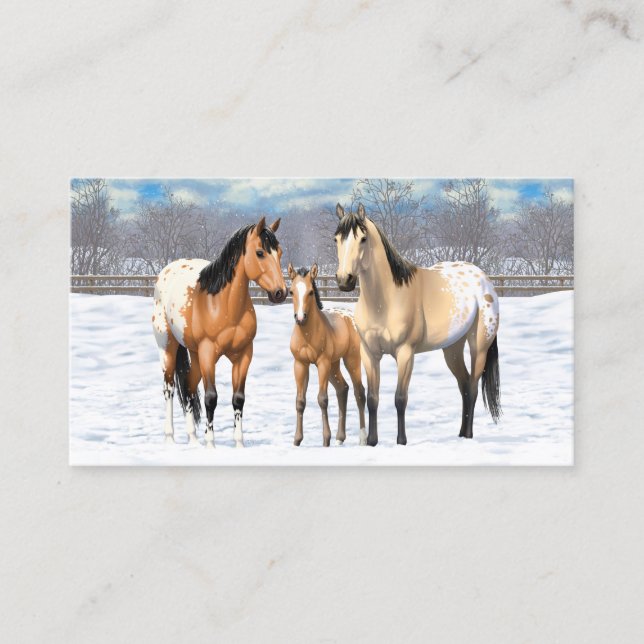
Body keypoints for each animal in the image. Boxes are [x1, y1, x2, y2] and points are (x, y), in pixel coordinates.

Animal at [152, 217, 287, 448]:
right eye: (260, 252)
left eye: (279, 253)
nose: (281, 293)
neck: (223, 305)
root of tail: (167, 271)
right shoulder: (208, 353)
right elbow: (211, 398)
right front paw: (211, 444)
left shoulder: (244, 355)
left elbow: (238, 398)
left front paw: (239, 443)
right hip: (168, 347)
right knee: (169, 388)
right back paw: (170, 437)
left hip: (195, 354)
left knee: (188, 388)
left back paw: (193, 439)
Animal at [288, 263, 366, 447]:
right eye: (291, 291)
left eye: (311, 292)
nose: (300, 318)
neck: (307, 335)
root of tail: (350, 317)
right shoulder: (300, 364)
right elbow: (300, 401)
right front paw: (297, 440)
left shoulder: (322, 363)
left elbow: (322, 399)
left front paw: (326, 440)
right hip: (334, 364)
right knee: (342, 389)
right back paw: (340, 438)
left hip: (351, 360)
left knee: (359, 392)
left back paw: (363, 439)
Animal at [333, 203, 501, 446]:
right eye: (336, 238)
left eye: (363, 239)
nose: (344, 280)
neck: (386, 300)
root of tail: (484, 278)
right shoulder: (369, 353)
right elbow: (373, 398)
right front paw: (373, 441)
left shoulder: (405, 353)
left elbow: (400, 398)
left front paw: (401, 441)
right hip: (452, 349)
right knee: (463, 385)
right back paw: (460, 433)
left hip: (479, 347)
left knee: (472, 386)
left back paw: (468, 435)